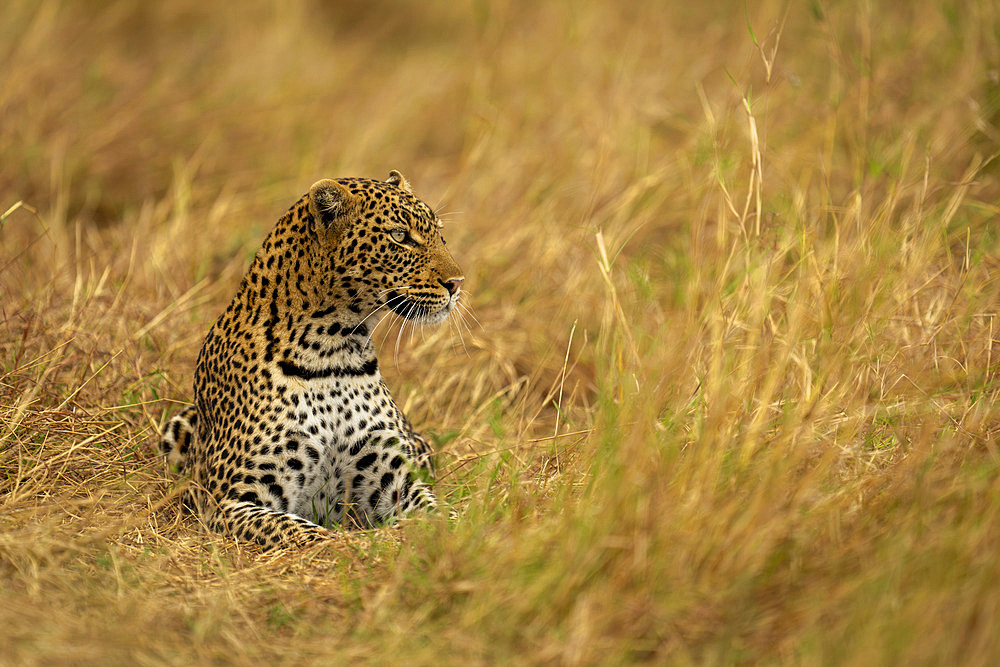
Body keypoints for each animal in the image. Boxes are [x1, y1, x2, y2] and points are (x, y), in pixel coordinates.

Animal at [159, 171, 464, 548]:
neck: (333, 349)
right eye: (399, 236)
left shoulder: (399, 481)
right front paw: (361, 546)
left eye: (440, 234)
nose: (457, 283)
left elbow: (444, 515)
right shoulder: (230, 499)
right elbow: (309, 535)